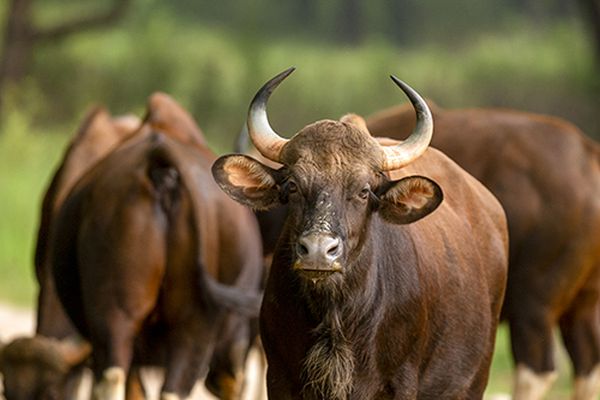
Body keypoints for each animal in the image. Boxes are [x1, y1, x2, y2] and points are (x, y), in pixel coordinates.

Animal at [211, 68, 506, 396]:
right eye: (293, 185)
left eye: (364, 191)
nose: (318, 251)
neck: (335, 317)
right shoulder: (279, 378)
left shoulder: (401, 383)